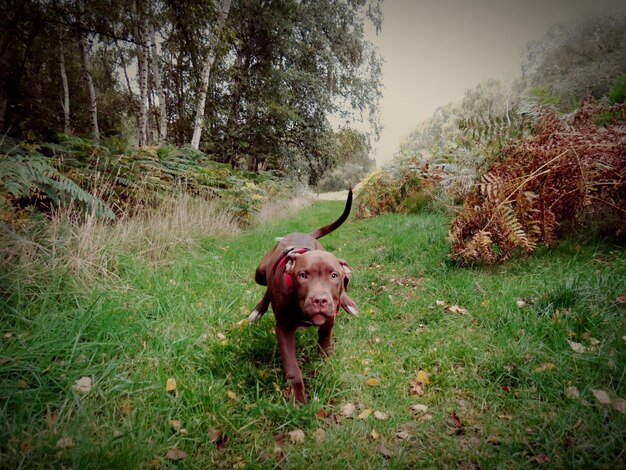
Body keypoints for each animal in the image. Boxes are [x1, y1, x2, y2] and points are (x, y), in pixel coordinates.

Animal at [249, 189, 356, 402]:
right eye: (302, 275)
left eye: (334, 275)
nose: (320, 300)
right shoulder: (283, 329)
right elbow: (292, 367)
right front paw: (298, 397)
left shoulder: (330, 314)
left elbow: (325, 335)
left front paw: (325, 357)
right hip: (260, 273)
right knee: (266, 288)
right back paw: (257, 311)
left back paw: (349, 303)